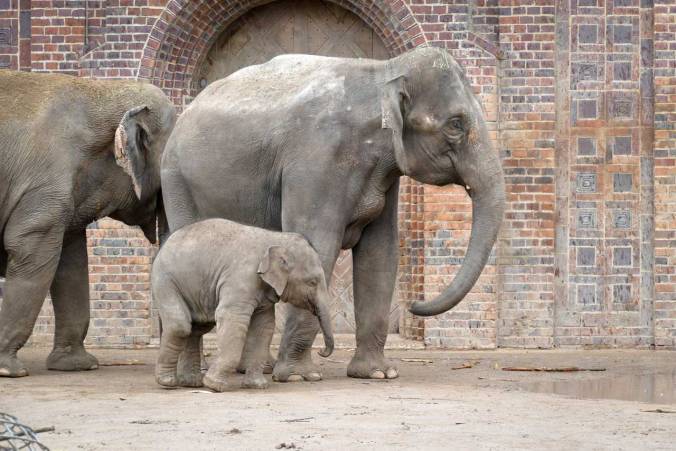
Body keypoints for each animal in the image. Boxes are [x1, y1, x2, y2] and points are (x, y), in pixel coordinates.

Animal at [0, 70, 176, 377]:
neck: (102, 90)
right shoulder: (45, 182)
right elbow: (30, 249)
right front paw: (8, 370)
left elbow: (71, 263)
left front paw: (76, 365)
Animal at [152, 218, 334, 392]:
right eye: (312, 282)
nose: (321, 351)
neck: (275, 238)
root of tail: (163, 246)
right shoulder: (241, 278)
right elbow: (232, 318)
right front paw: (215, 386)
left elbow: (264, 326)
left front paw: (258, 386)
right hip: (165, 281)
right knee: (180, 325)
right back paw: (168, 382)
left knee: (197, 328)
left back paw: (191, 383)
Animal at [161, 46, 505, 382]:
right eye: (456, 124)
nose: (415, 304)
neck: (384, 72)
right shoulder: (317, 160)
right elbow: (318, 244)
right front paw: (299, 376)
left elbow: (380, 254)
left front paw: (377, 373)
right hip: (178, 181)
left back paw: (256, 368)